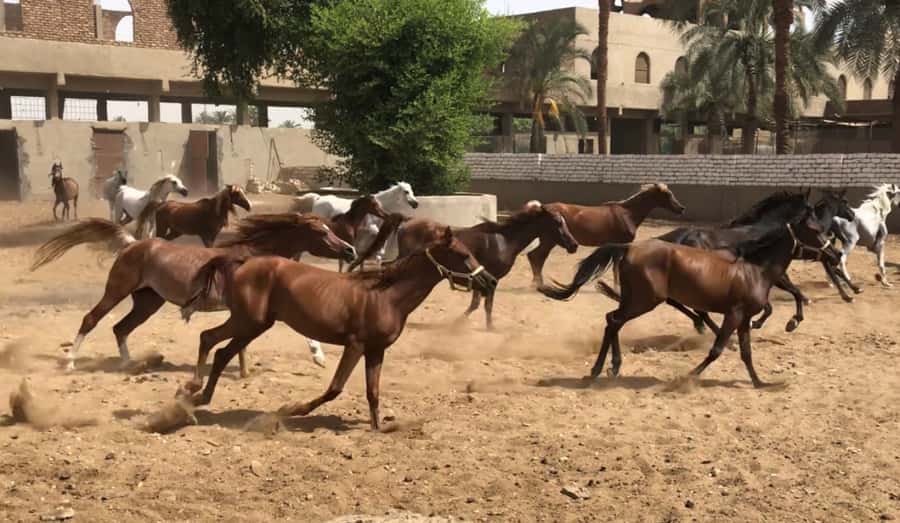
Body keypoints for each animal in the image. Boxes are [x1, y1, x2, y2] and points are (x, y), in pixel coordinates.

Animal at [30, 214, 356, 373]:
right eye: (322, 232)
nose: (351, 250)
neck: (255, 256)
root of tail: (132, 244)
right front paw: (319, 358)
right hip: (117, 289)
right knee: (91, 319)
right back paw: (70, 362)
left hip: (147, 302)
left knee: (120, 328)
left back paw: (128, 364)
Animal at [178, 226, 497, 431]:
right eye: (463, 255)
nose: (490, 281)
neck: (386, 295)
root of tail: (245, 261)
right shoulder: (355, 345)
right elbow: (335, 388)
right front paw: (293, 410)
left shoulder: (376, 349)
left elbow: (373, 391)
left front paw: (377, 427)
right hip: (248, 322)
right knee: (210, 340)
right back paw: (192, 393)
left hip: (254, 324)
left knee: (219, 350)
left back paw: (197, 397)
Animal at [359, 201, 578, 329]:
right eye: (558, 223)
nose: (574, 245)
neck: (505, 240)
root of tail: (408, 221)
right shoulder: (491, 279)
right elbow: (485, 304)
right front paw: (487, 327)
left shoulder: (483, 278)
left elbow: (476, 303)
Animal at [527, 183, 686, 287]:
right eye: (668, 194)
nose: (681, 208)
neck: (627, 215)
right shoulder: (620, 245)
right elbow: (616, 267)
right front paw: (618, 286)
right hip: (550, 241)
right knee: (537, 257)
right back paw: (538, 284)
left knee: (536, 257)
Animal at [539, 203, 839, 388]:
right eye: (814, 229)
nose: (835, 254)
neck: (755, 268)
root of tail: (628, 248)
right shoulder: (734, 314)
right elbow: (717, 349)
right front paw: (688, 376)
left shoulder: (743, 319)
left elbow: (747, 352)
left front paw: (761, 383)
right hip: (644, 301)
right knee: (614, 321)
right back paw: (598, 371)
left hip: (635, 299)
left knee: (612, 320)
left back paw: (611, 367)